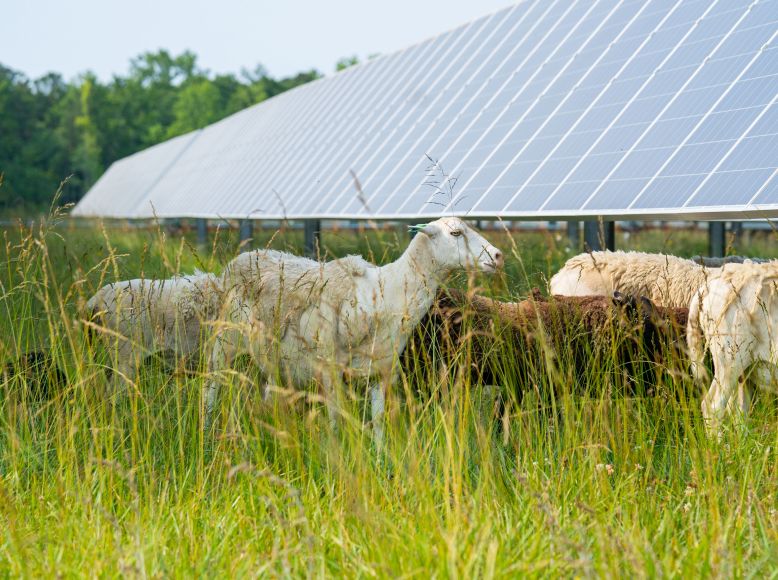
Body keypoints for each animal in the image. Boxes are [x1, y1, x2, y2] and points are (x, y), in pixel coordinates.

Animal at [205, 218, 504, 444]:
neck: (387, 289)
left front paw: (381, 459)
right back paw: (208, 431)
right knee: (213, 384)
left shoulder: (381, 369)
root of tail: (246, 255)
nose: (498, 256)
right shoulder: (329, 369)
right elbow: (336, 418)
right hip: (225, 342)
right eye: (455, 233)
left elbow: (379, 420)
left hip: (272, 357)